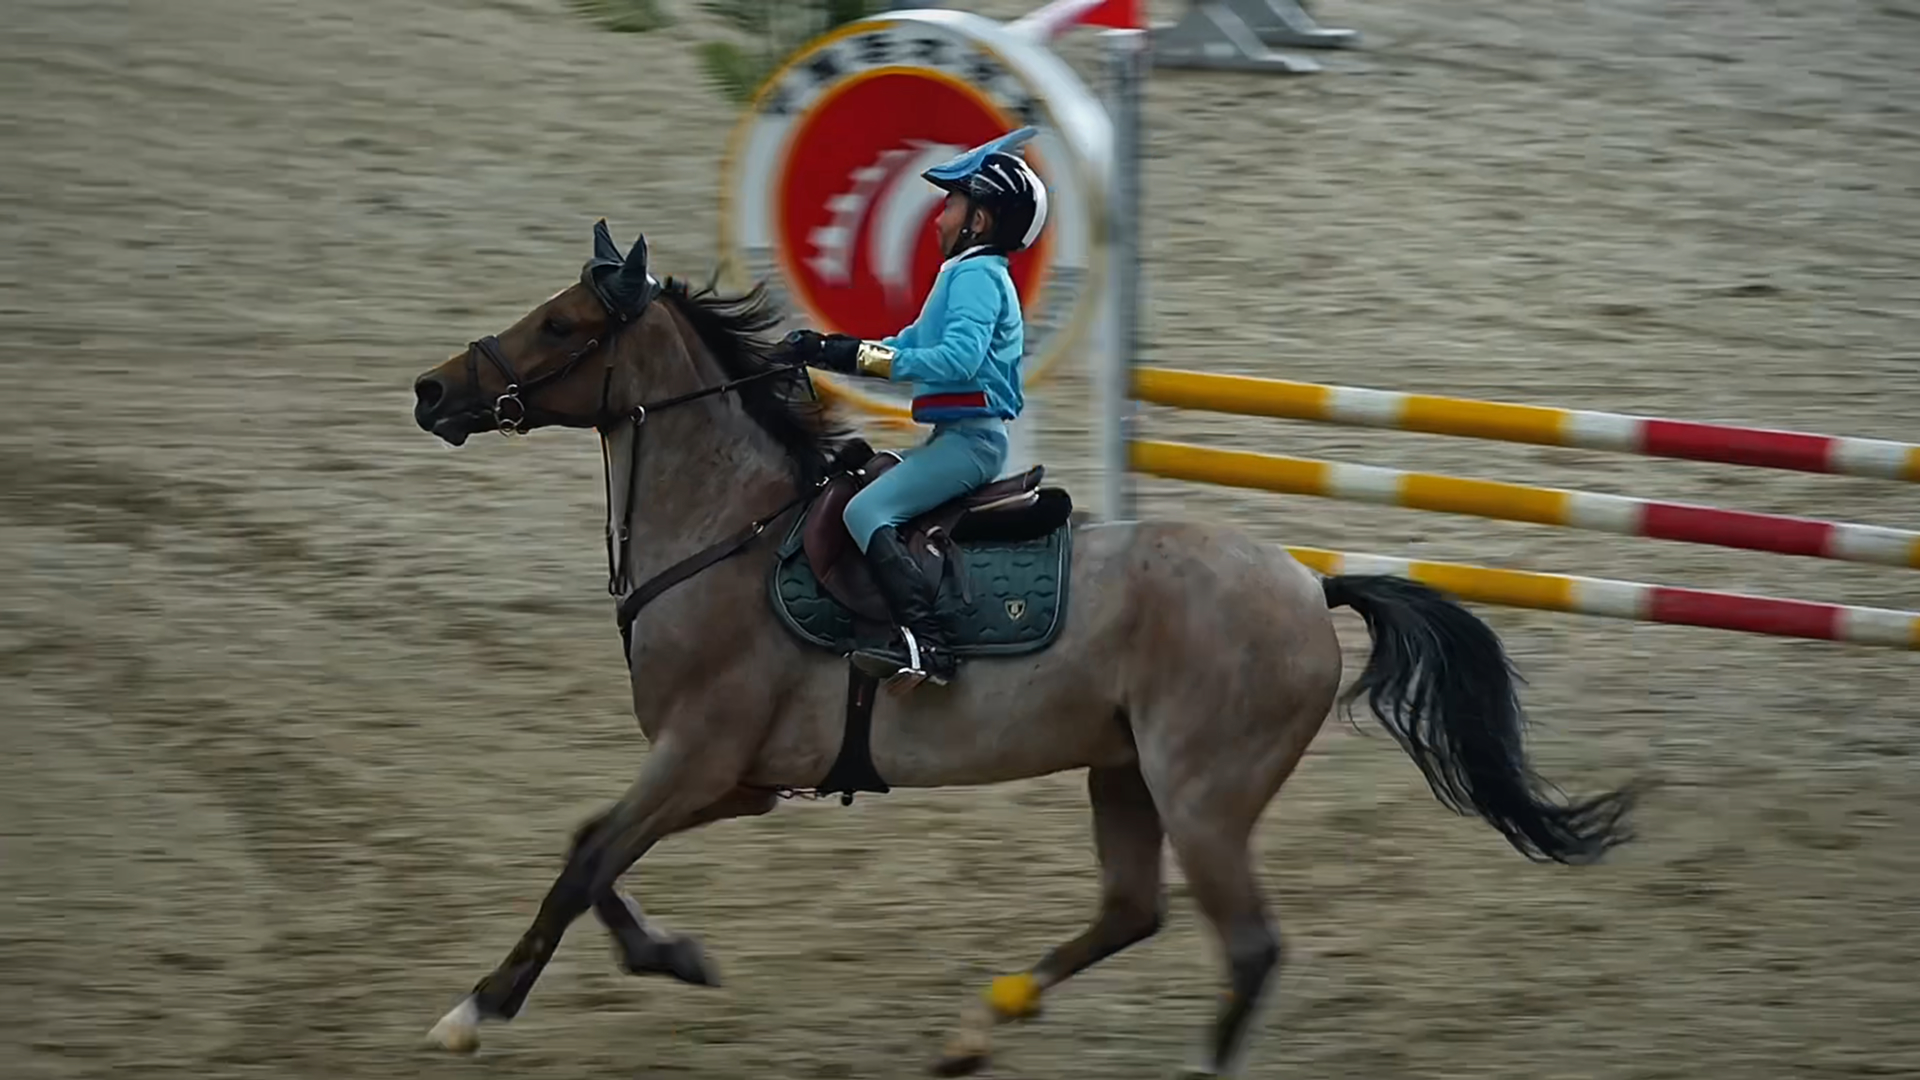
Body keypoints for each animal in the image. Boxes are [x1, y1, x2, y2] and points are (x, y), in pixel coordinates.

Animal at [408, 220, 1636, 1078]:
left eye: (562, 324)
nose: (431, 389)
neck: (730, 536)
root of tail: (1305, 580)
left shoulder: (698, 756)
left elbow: (584, 865)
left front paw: (474, 1011)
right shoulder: (733, 777)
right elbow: (595, 855)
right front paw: (671, 958)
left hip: (1203, 796)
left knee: (1244, 947)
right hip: (1124, 773)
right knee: (1133, 912)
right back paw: (977, 1030)